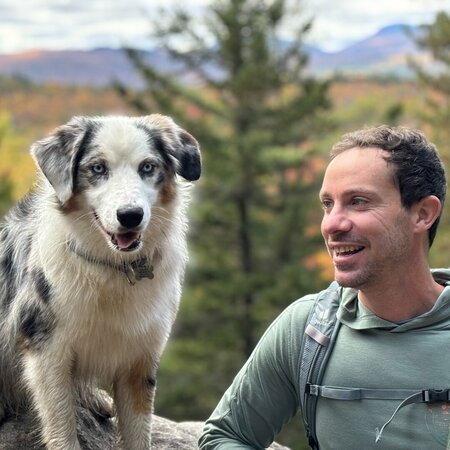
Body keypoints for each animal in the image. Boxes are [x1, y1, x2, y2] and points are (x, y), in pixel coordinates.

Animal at [0, 114, 201, 448]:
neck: (116, 269)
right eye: (97, 168)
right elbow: (62, 427)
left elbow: (138, 433)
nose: (130, 215)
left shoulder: (140, 359)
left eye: (148, 167)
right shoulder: (47, 351)